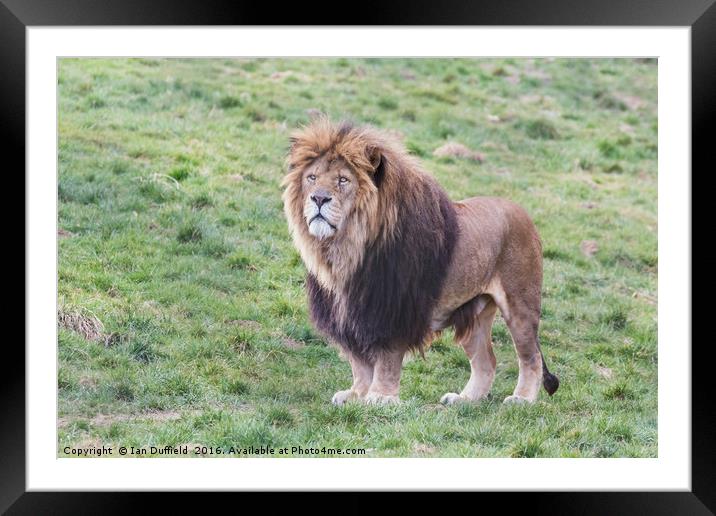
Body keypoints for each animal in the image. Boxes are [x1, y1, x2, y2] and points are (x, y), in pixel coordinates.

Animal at [282, 118, 560, 408]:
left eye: (343, 180)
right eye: (312, 178)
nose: (318, 198)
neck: (345, 250)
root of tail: (523, 213)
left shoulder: (392, 311)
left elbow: (386, 360)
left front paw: (379, 398)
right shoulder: (349, 313)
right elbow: (359, 362)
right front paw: (357, 394)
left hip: (520, 305)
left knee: (530, 356)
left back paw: (522, 399)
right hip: (474, 311)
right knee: (487, 361)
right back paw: (464, 400)